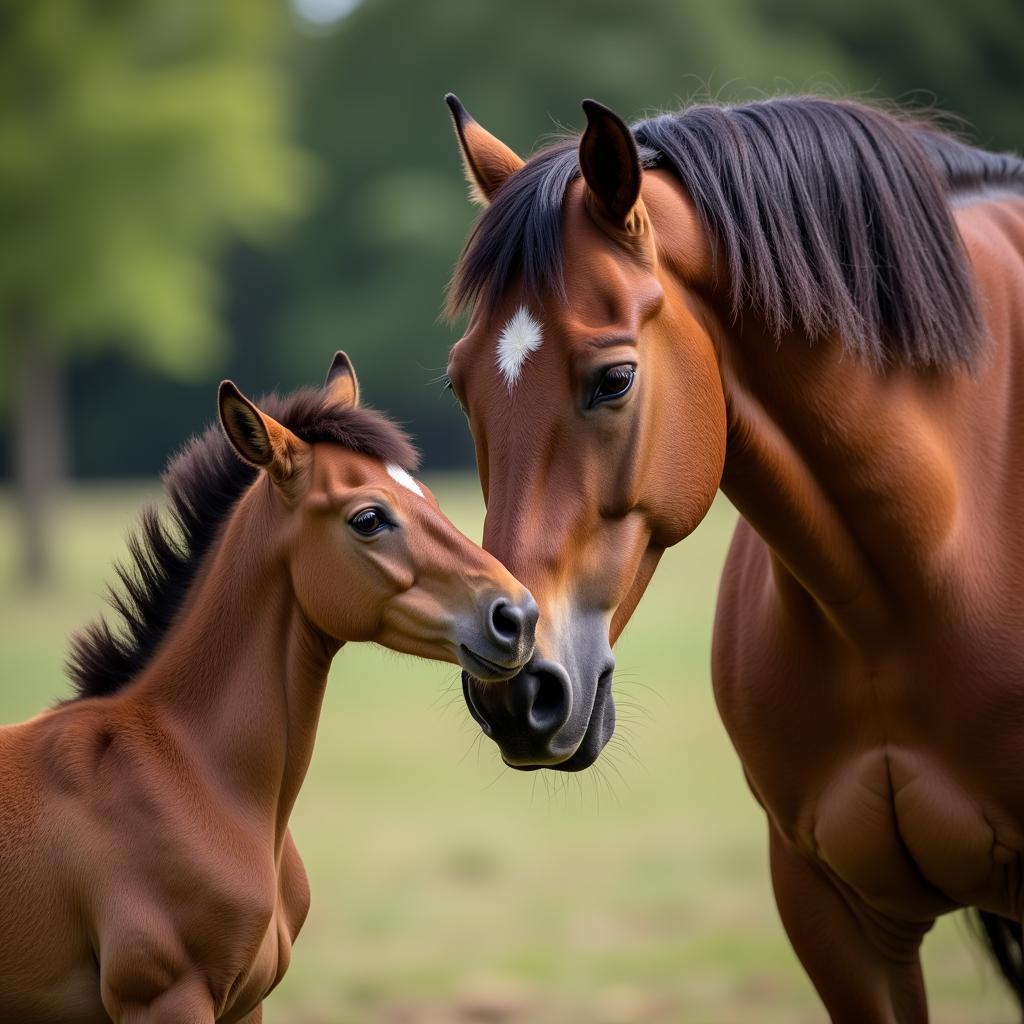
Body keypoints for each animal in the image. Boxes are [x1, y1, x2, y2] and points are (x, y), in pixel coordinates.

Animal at [0, 354, 540, 1024]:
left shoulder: (246, 1002)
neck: (185, 771)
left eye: (431, 497)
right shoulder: (166, 999)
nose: (518, 617)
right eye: (369, 517)